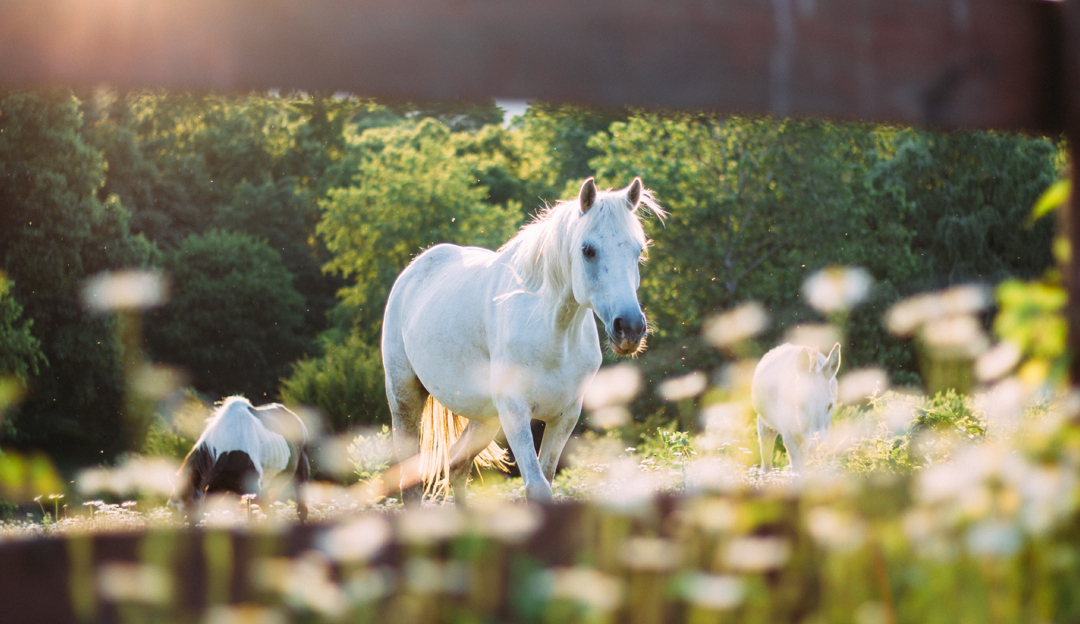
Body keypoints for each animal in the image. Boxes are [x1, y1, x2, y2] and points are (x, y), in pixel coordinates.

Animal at [170, 392, 311, 520]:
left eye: (191, 507)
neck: (228, 453)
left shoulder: (255, 493)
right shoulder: (214, 491)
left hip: (301, 472)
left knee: (301, 510)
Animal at [384, 173, 660, 500]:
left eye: (638, 250)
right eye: (588, 250)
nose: (629, 328)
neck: (553, 336)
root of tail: (412, 271)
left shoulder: (565, 416)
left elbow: (547, 478)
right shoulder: (515, 412)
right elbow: (537, 487)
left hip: (485, 418)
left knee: (457, 465)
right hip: (404, 398)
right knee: (411, 481)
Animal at [751, 341, 842, 470]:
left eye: (830, 406)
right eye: (800, 403)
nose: (817, 448)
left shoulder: (825, 433)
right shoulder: (790, 439)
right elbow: (796, 472)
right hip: (765, 426)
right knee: (766, 464)